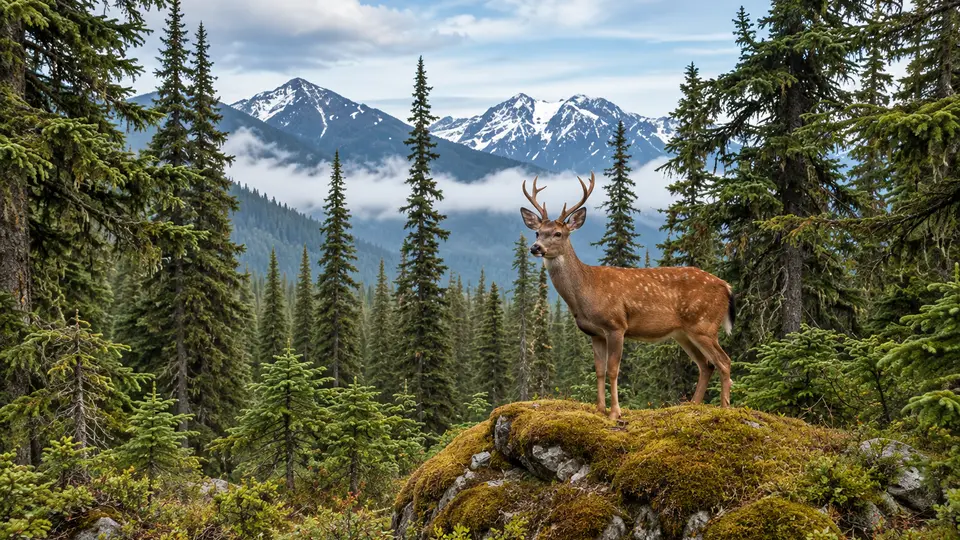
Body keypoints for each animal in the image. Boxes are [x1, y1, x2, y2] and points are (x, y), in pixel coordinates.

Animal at [519, 172, 736, 420]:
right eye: (537, 232)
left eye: (558, 233)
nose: (535, 247)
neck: (585, 291)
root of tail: (727, 286)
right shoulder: (595, 333)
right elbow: (599, 371)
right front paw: (600, 409)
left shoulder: (616, 325)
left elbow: (613, 370)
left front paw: (615, 413)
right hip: (684, 333)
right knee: (706, 365)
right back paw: (692, 406)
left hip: (704, 324)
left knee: (724, 361)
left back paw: (725, 409)